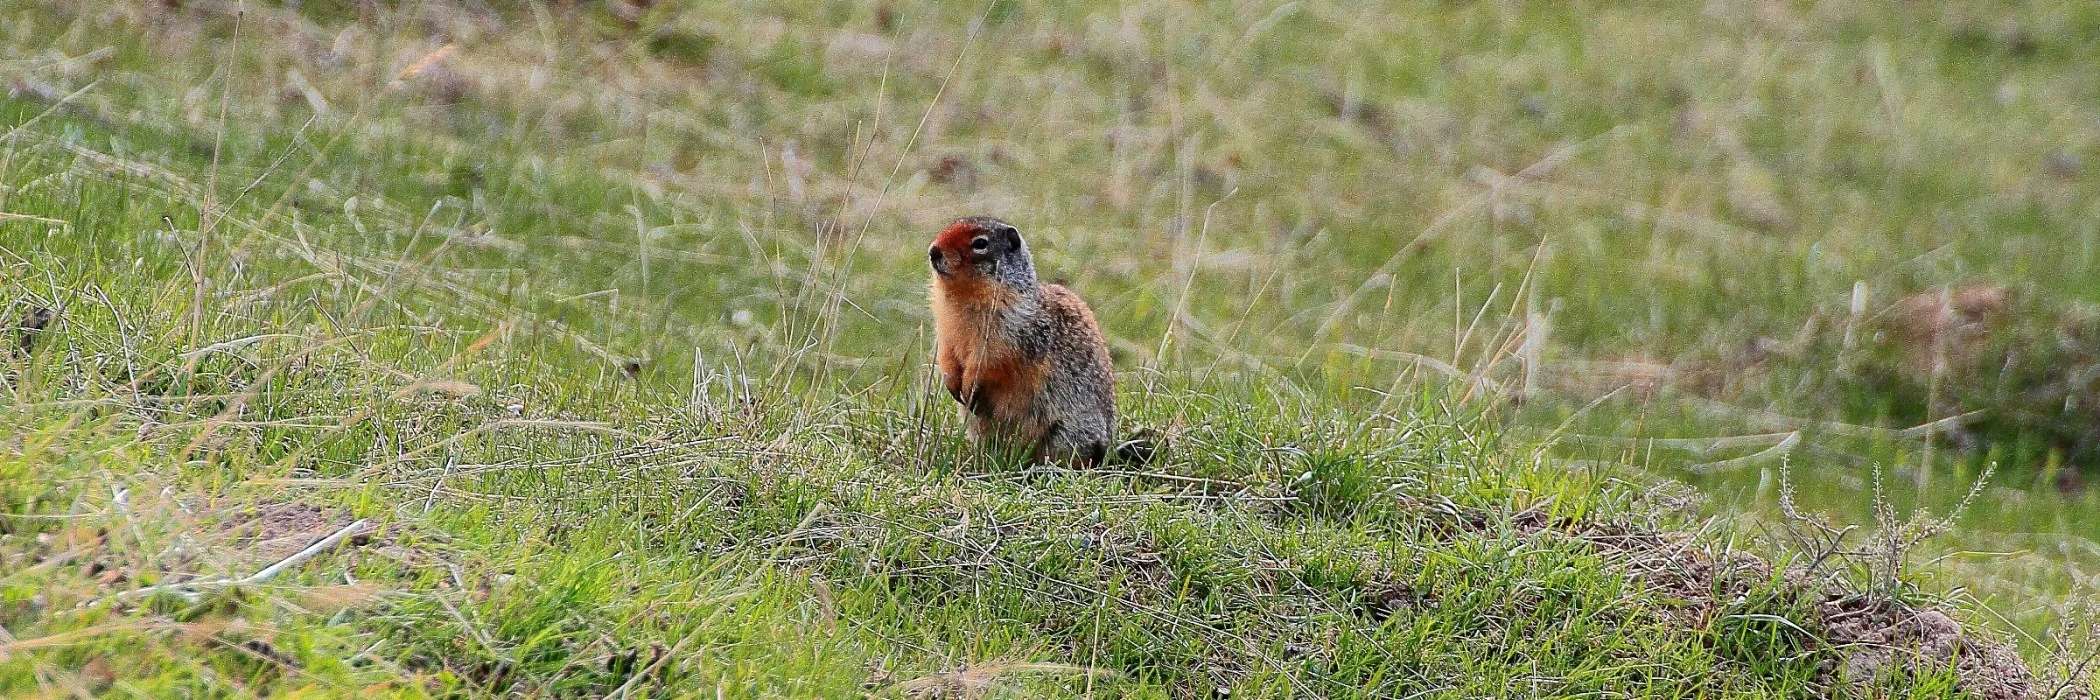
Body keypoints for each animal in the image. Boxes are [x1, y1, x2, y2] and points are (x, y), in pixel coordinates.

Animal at [928, 216, 1144, 467]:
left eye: (980, 243)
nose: (933, 251)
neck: (962, 296)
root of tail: (1109, 450)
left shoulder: (1011, 331)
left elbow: (990, 359)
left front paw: (970, 385)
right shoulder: (946, 329)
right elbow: (947, 354)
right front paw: (952, 384)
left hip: (1068, 432)